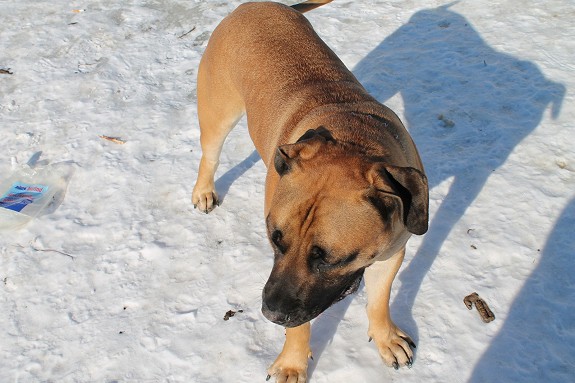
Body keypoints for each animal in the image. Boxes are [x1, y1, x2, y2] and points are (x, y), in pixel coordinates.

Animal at [191, 1, 430, 382]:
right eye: (275, 239)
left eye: (330, 259)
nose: (270, 313)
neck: (354, 138)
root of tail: (252, 6)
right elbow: (300, 323)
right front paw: (292, 363)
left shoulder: (391, 250)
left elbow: (379, 299)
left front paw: (385, 337)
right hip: (218, 111)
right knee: (209, 154)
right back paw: (204, 191)